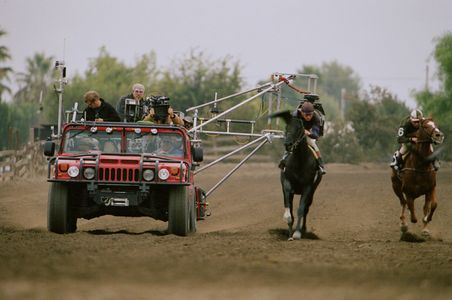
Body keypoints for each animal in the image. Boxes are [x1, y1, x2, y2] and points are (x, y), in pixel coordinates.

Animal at [270, 111, 324, 240]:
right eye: (286, 128)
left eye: (299, 128)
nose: (288, 144)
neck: (299, 161)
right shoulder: (287, 185)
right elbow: (288, 207)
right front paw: (289, 232)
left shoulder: (307, 187)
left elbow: (301, 209)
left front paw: (297, 233)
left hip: (313, 191)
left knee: (306, 209)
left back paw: (303, 229)